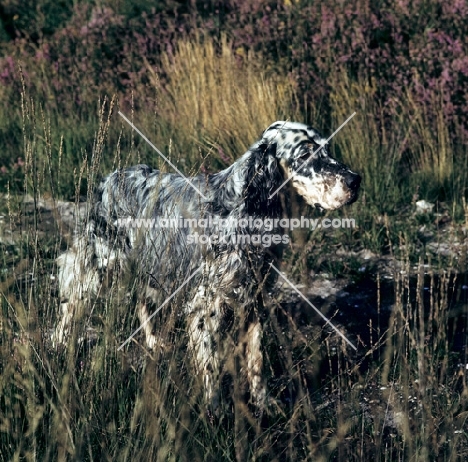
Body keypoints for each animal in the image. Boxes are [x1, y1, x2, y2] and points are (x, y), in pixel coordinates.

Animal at [54, 122, 362, 408]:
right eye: (306, 154)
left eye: (328, 149)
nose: (355, 180)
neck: (246, 209)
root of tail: (111, 178)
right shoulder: (207, 302)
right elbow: (211, 362)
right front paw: (213, 411)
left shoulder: (254, 295)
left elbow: (256, 359)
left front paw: (263, 402)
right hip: (97, 263)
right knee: (71, 307)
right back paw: (57, 344)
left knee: (141, 300)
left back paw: (153, 342)